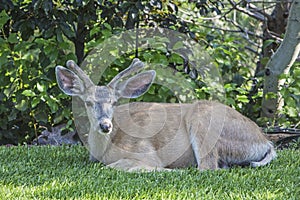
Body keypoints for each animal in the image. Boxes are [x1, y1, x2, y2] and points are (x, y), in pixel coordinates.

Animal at [55, 57, 276, 172]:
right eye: (88, 102)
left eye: (115, 102)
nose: (105, 125)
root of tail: (265, 141)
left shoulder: (145, 151)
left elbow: (119, 165)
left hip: (204, 121)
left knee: (207, 167)